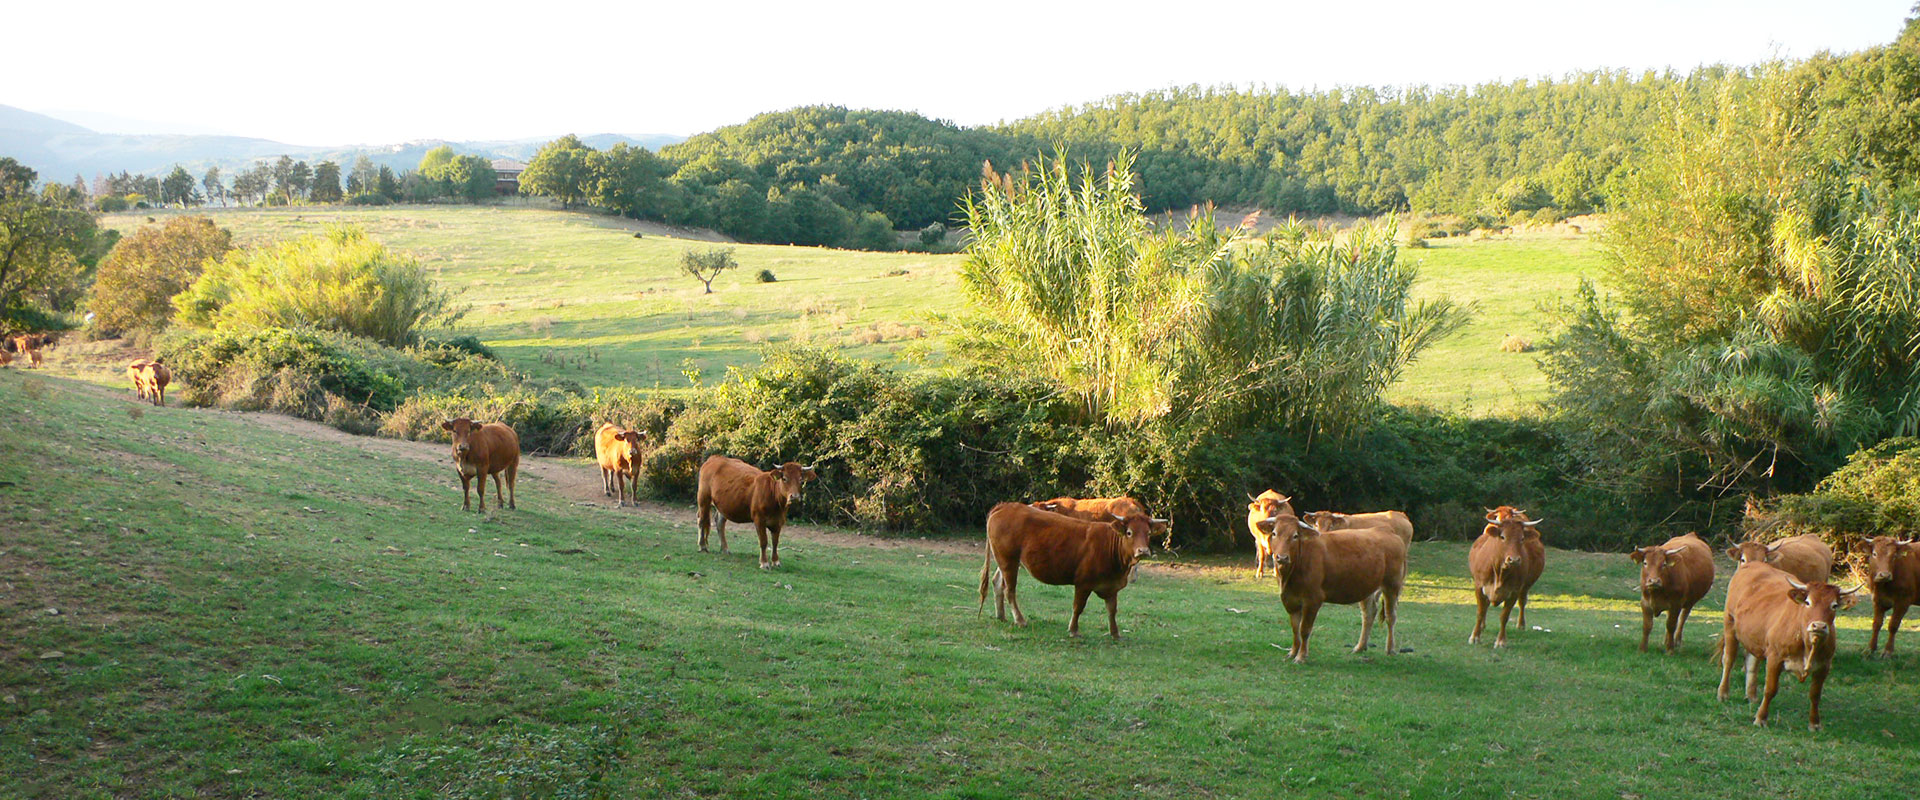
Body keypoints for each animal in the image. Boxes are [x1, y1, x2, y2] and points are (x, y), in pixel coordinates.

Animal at [975, 502, 1152, 640]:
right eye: (1129, 532)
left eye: (1148, 533)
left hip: (1007, 561)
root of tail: (1005, 506)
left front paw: (1115, 634)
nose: (1143, 551)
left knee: (997, 582)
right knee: (1009, 590)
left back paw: (1001, 616)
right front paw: (1073, 630)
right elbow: (1078, 607)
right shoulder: (1083, 583)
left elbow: (1112, 610)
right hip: (1008, 560)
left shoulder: (1112, 586)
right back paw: (1020, 620)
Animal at [1259, 510, 1413, 659]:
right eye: (1274, 533)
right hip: (1368, 587)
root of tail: (1387, 530)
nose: (1282, 557)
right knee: (1369, 614)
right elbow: (1295, 629)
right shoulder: (1290, 599)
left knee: (1391, 616)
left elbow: (1304, 630)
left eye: (1295, 536)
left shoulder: (1313, 600)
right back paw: (1360, 647)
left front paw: (1301, 656)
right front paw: (1292, 653)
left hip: (1392, 585)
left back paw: (1390, 649)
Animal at [1466, 506, 1543, 644]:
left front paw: (1501, 641)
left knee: (1522, 601)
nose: (1514, 559)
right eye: (1502, 537)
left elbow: (1504, 616)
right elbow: (1480, 612)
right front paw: (1475, 637)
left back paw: (1521, 625)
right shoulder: (1479, 587)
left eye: (1522, 538)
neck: (1500, 573)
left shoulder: (1514, 591)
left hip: (1526, 586)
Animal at [1712, 564, 1858, 725]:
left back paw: (1751, 696)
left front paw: (1814, 723)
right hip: (1730, 624)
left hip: (1755, 637)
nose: (1819, 626)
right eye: (1808, 602)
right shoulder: (1774, 658)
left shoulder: (1824, 665)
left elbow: (1815, 694)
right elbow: (1770, 689)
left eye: (1834, 605)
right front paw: (1761, 718)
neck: (1809, 646)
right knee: (1729, 660)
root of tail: (1753, 564)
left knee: (1752, 663)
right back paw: (1723, 693)